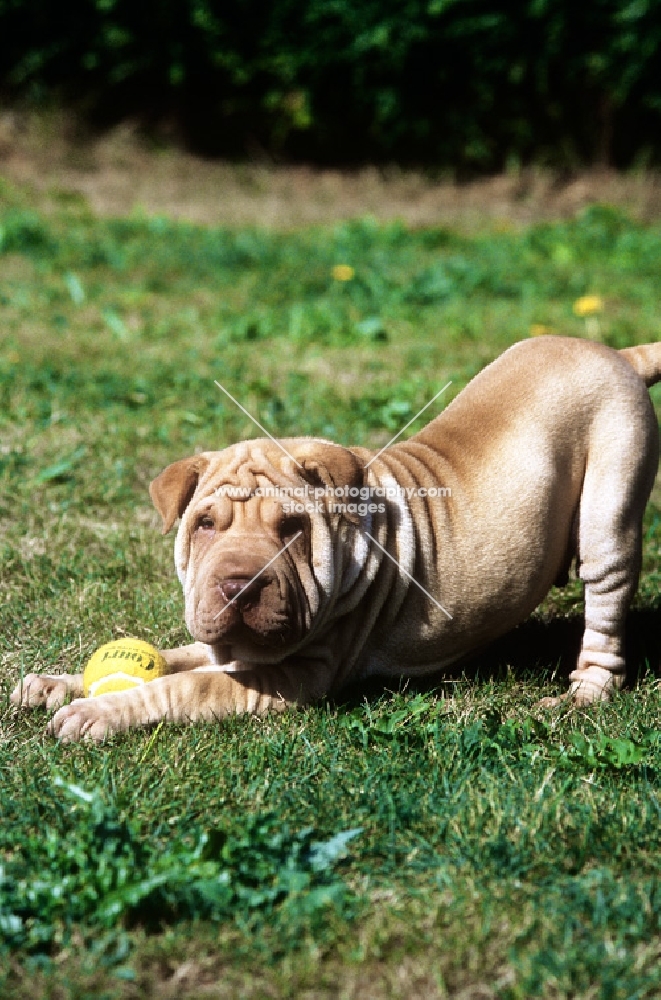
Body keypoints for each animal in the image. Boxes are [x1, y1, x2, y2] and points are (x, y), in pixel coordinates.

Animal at [12, 340, 660, 740]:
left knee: (606, 609)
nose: (238, 586)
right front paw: (54, 685)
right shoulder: (225, 643)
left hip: (609, 512)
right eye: (205, 525)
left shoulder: (295, 675)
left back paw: (583, 695)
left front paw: (97, 711)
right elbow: (174, 657)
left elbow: (186, 686)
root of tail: (615, 354)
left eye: (290, 528)